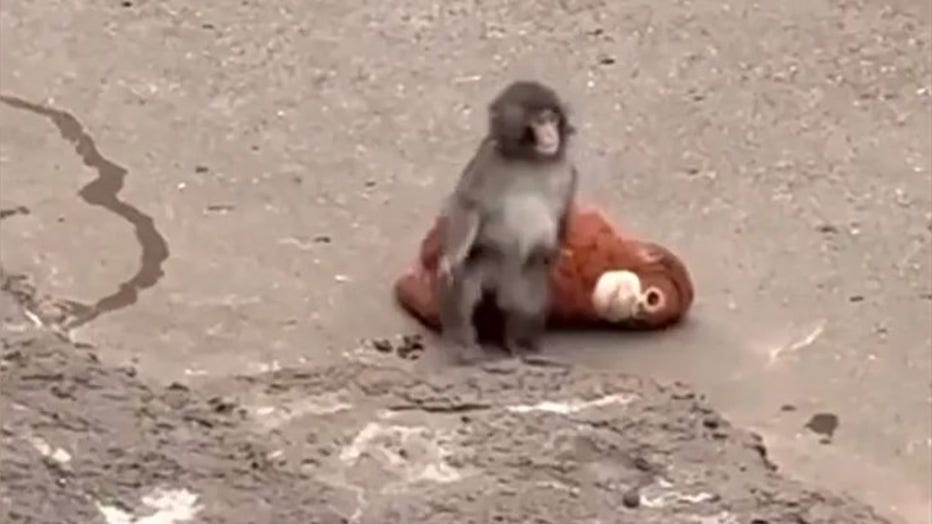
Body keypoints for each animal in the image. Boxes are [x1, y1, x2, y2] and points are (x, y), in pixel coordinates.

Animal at [436, 80, 579, 362]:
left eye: (552, 118)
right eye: (539, 121)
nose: (551, 135)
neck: (529, 159)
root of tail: (502, 291)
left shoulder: (567, 172)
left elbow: (561, 219)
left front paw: (555, 255)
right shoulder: (487, 158)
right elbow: (468, 204)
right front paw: (452, 259)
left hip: (519, 282)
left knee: (531, 293)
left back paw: (521, 344)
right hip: (488, 261)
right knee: (464, 282)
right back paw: (463, 344)